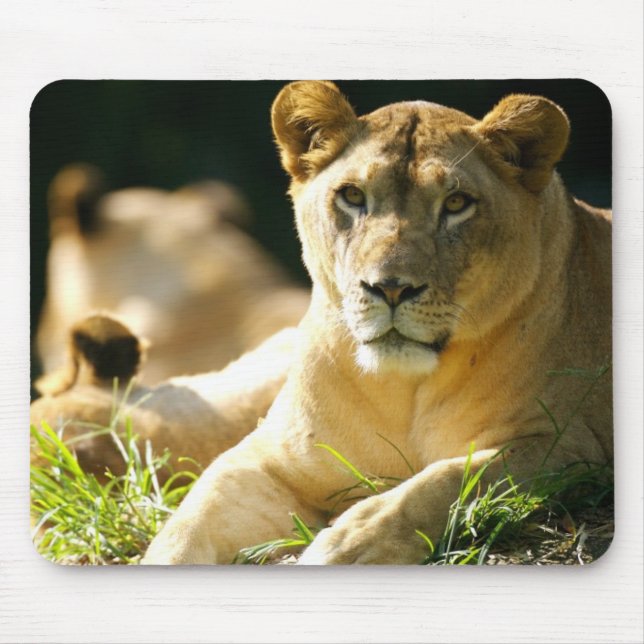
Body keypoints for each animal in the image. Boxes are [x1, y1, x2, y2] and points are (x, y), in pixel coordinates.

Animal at [135, 81, 610, 564]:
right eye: (352, 196)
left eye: (456, 203)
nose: (391, 288)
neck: (402, 390)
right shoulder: (268, 457)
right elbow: (189, 520)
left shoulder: (565, 446)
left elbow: (445, 482)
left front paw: (349, 544)